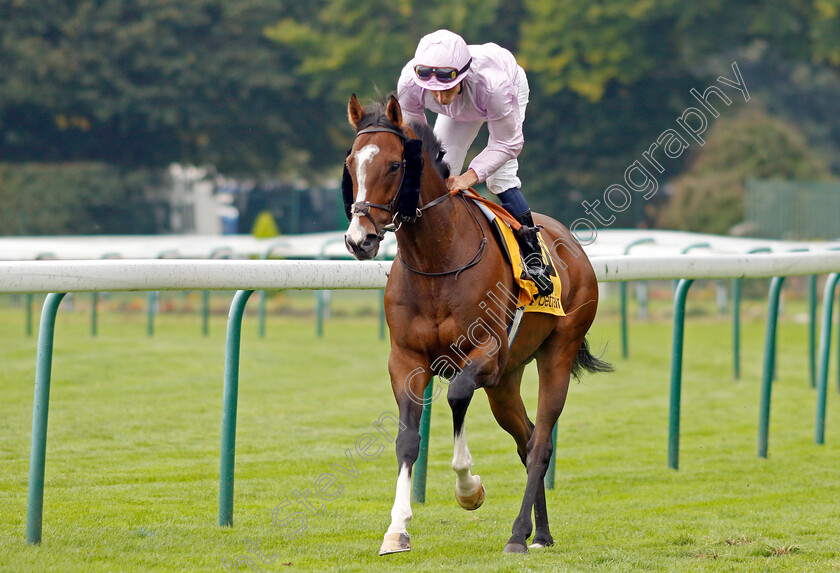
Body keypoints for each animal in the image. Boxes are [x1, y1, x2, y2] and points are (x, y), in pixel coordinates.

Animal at [342, 94, 612, 556]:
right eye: (350, 163)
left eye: (394, 165)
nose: (359, 240)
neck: (436, 261)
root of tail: (573, 246)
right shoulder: (406, 360)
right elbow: (407, 439)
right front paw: (397, 529)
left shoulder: (486, 353)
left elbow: (456, 395)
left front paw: (469, 489)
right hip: (507, 380)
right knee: (527, 438)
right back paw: (540, 532)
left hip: (556, 352)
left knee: (541, 443)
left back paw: (518, 535)